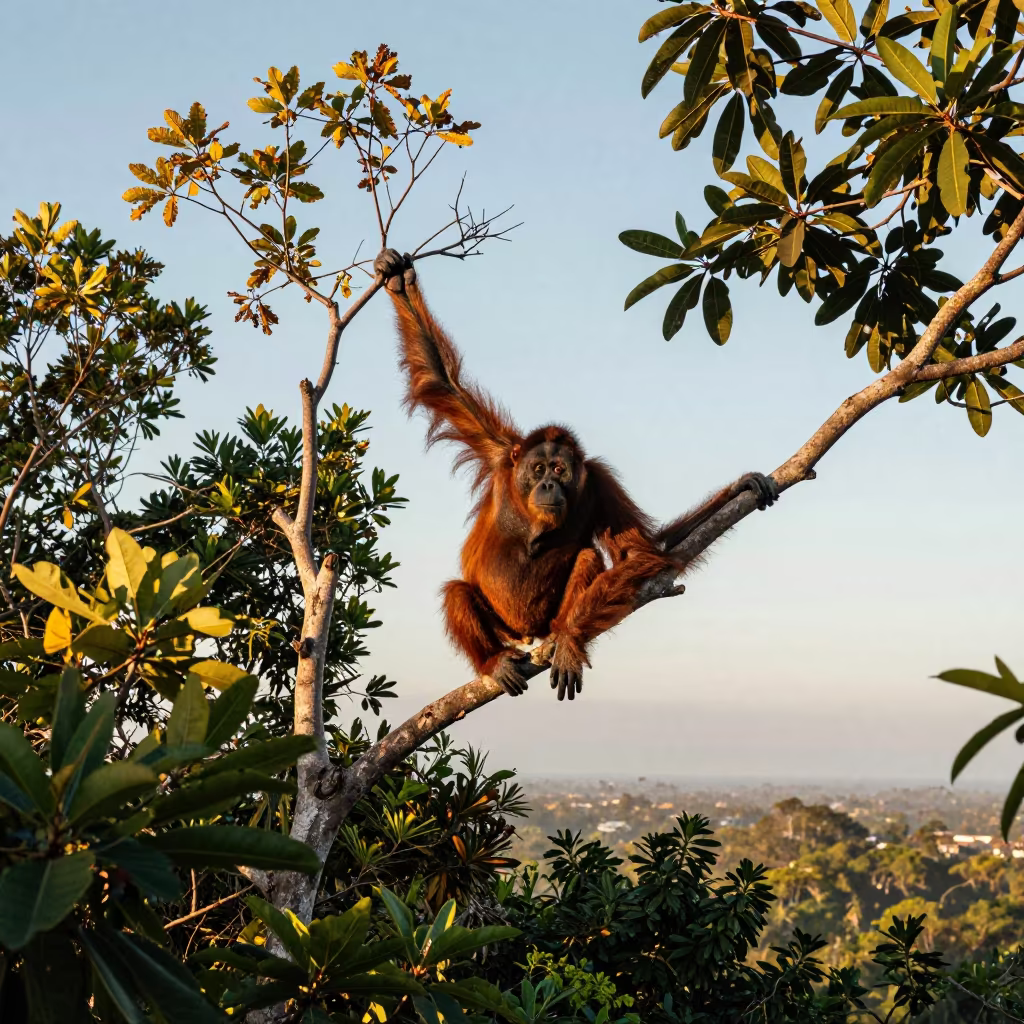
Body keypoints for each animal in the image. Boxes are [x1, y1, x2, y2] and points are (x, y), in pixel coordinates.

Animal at [374, 248, 777, 701]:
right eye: (537, 469)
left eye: (560, 469)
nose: (549, 483)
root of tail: (526, 636)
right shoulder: (500, 452)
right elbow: (439, 381)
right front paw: (399, 278)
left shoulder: (598, 480)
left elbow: (640, 551)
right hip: (504, 630)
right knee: (457, 592)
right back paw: (495, 663)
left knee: (587, 557)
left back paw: (561, 635)